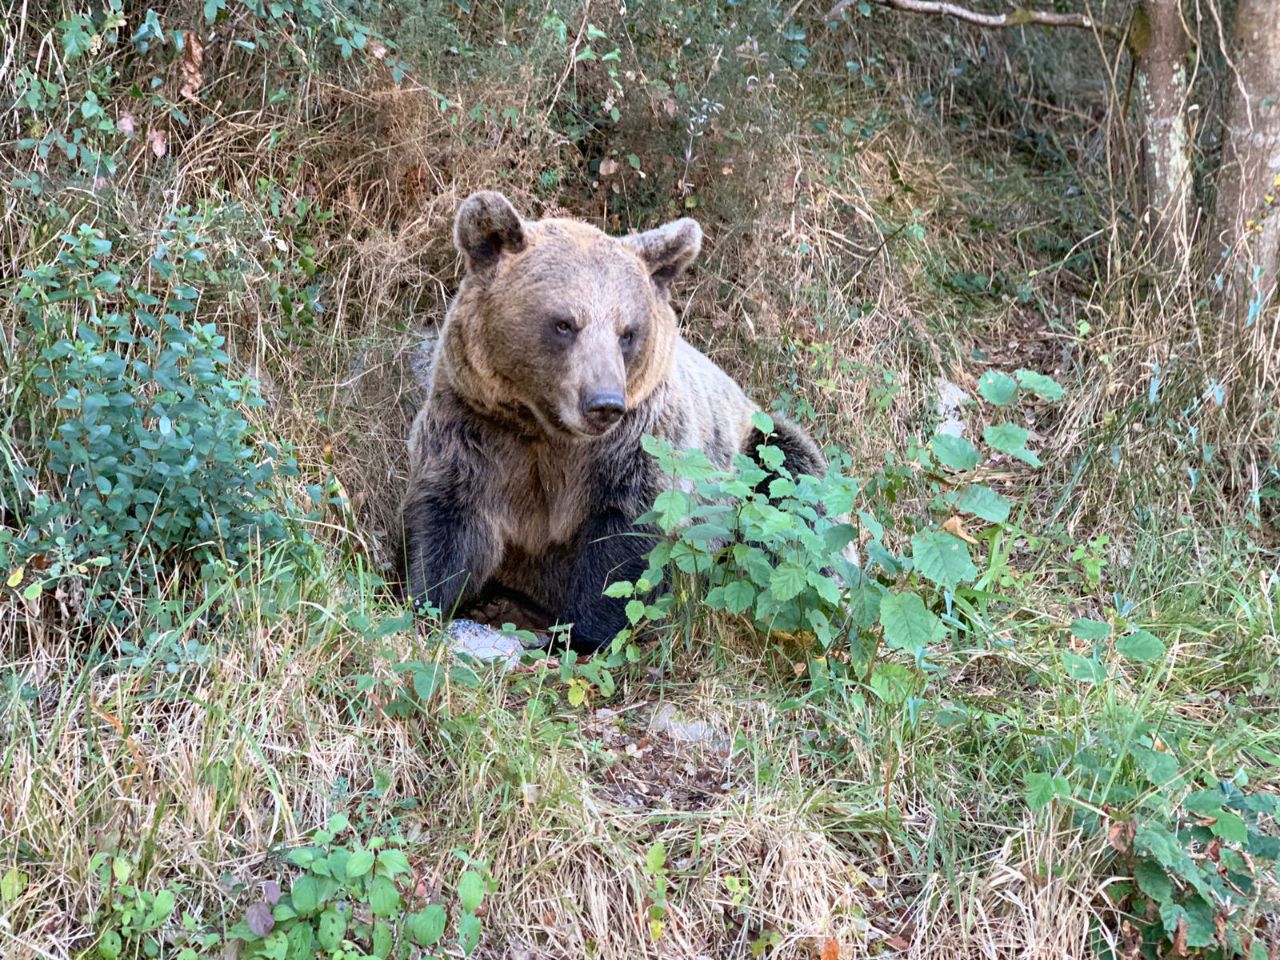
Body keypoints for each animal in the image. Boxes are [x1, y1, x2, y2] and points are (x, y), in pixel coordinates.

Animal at [399, 188, 829, 655]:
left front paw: (583, 637)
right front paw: (427, 602)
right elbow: (453, 521)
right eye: (564, 323)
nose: (603, 403)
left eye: (628, 332)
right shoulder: (478, 429)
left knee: (794, 499)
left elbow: (622, 545)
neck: (547, 431)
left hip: (757, 446)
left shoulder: (634, 448)